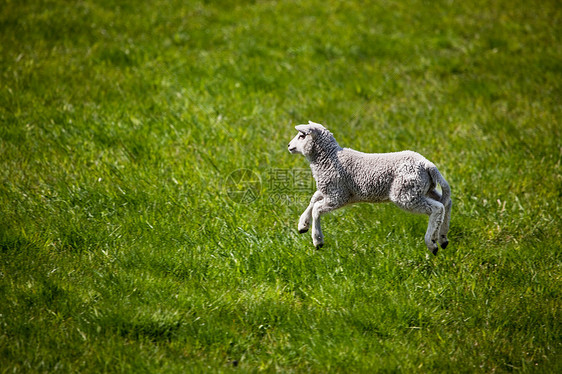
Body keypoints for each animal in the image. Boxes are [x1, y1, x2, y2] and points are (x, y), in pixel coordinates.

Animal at [288, 121, 450, 256]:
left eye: (302, 136)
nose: (289, 146)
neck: (328, 159)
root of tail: (427, 164)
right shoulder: (330, 190)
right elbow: (313, 198)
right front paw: (303, 225)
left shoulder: (337, 195)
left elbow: (316, 208)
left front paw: (317, 240)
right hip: (422, 189)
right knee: (446, 203)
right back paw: (442, 238)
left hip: (405, 193)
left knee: (438, 208)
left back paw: (432, 243)